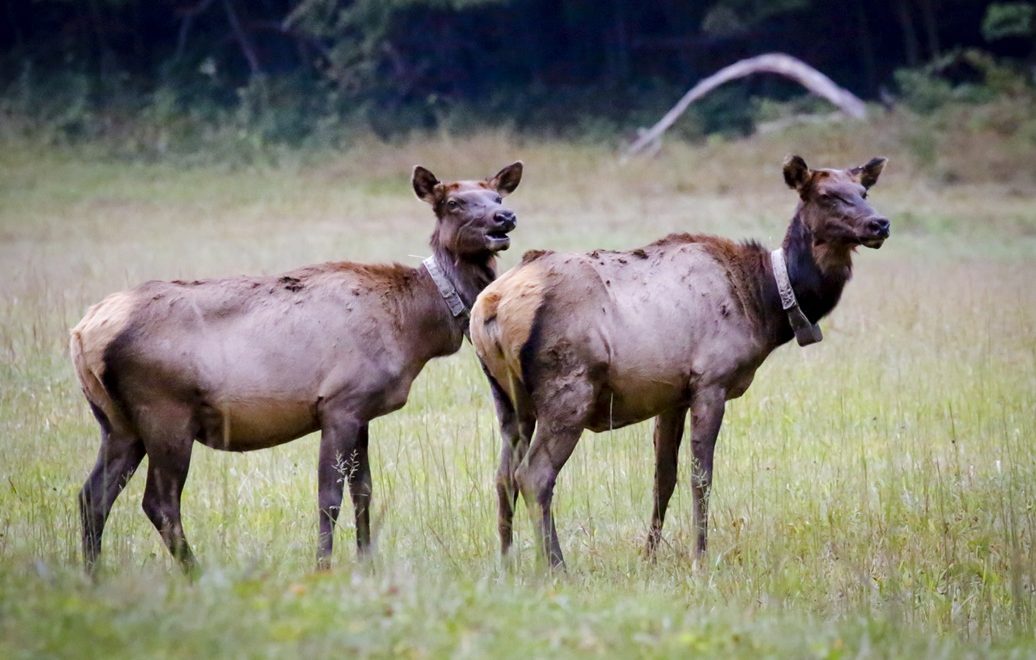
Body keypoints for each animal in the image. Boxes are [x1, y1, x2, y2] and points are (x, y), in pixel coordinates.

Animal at [70, 160, 526, 571]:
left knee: (92, 495)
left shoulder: (363, 411)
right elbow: (329, 497)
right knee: (159, 502)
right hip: (165, 411)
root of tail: (82, 333)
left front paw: (366, 563)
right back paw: (193, 572)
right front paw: (323, 565)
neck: (413, 326)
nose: (504, 219)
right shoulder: (339, 402)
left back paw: (93, 573)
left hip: (118, 423)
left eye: (497, 197)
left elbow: (364, 490)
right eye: (453, 203)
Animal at [474, 154, 890, 567]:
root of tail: (490, 306)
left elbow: (664, 477)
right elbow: (700, 477)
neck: (765, 304)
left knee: (503, 476)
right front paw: (699, 557)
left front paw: (649, 556)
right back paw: (557, 565)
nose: (880, 223)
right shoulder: (711, 382)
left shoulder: (672, 395)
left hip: (509, 401)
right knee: (534, 475)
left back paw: (506, 561)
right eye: (825, 195)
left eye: (864, 191)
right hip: (568, 391)